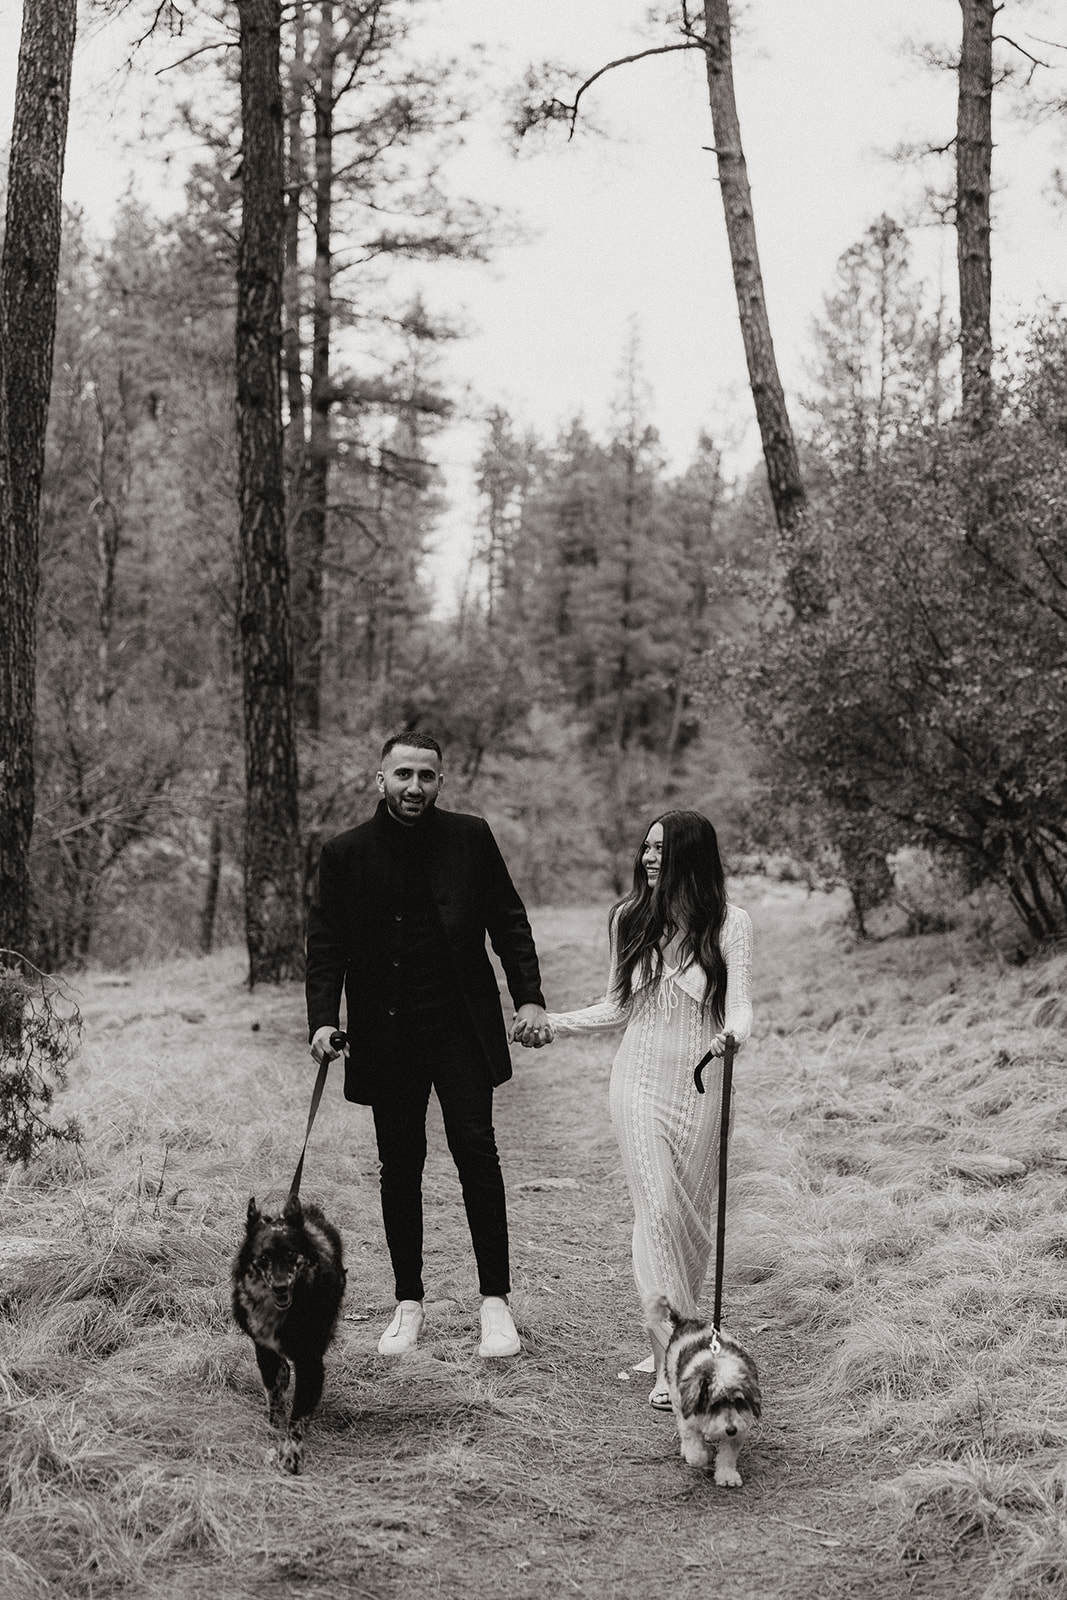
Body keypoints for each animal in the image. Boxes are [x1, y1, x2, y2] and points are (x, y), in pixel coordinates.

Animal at [231, 1190, 347, 1472]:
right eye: (264, 1258)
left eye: (292, 1254)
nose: (281, 1287)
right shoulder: (264, 1349)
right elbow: (274, 1393)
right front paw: (274, 1429)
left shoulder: (310, 1362)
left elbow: (298, 1417)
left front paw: (291, 1454)